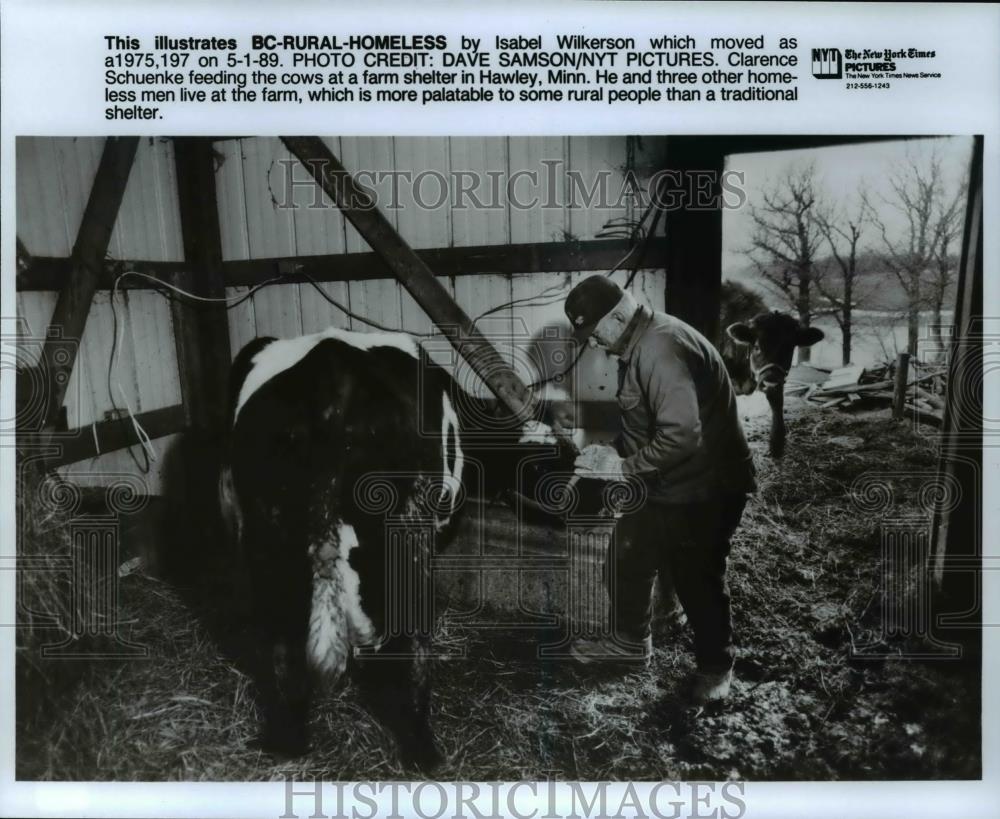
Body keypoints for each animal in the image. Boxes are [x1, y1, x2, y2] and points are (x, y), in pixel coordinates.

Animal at [218, 326, 580, 768]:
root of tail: (331, 371)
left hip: (266, 536)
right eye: (553, 462)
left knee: (279, 637)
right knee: (413, 643)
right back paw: (424, 751)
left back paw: (289, 740)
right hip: (407, 532)